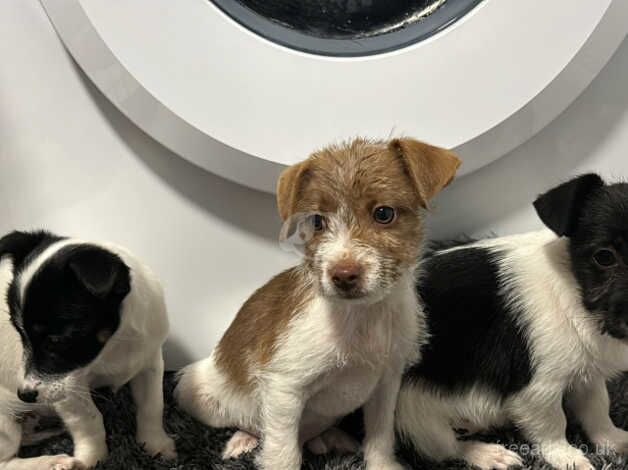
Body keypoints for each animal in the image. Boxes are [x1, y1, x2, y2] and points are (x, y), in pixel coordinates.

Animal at [1, 231, 177, 470]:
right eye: (20, 333)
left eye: (56, 340)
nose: (25, 395)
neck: (113, 345)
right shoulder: (68, 388)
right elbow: (89, 420)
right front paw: (93, 460)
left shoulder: (150, 362)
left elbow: (152, 405)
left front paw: (155, 445)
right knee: (6, 461)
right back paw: (52, 460)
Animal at [174, 138, 458, 468]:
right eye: (318, 221)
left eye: (384, 213)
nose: (343, 275)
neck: (363, 316)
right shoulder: (285, 388)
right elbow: (283, 454)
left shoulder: (387, 382)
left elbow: (380, 437)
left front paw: (382, 464)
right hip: (192, 388)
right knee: (257, 427)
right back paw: (244, 439)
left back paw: (330, 438)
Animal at [398, 174, 628, 468]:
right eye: (604, 257)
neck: (576, 292)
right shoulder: (538, 391)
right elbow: (553, 427)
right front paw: (569, 458)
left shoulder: (587, 374)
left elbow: (598, 411)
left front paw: (615, 440)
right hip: (415, 417)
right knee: (447, 448)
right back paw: (488, 454)